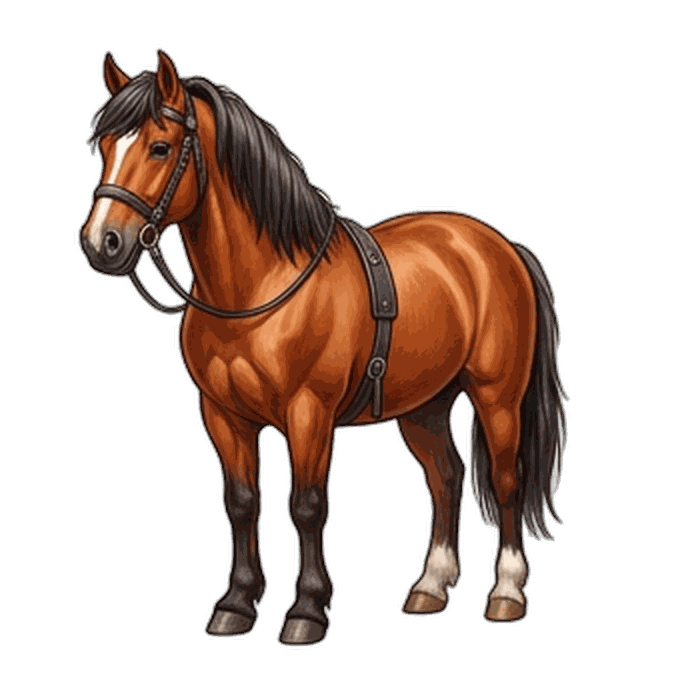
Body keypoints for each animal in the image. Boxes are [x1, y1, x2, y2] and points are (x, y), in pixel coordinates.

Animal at [78, 49, 569, 645]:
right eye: (104, 147)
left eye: (159, 147)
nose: (102, 242)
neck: (261, 286)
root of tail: (499, 247)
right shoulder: (223, 416)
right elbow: (241, 503)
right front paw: (236, 604)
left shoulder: (308, 412)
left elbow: (308, 505)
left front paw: (307, 612)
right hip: (424, 406)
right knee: (446, 479)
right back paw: (430, 587)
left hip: (497, 398)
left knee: (504, 481)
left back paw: (506, 594)